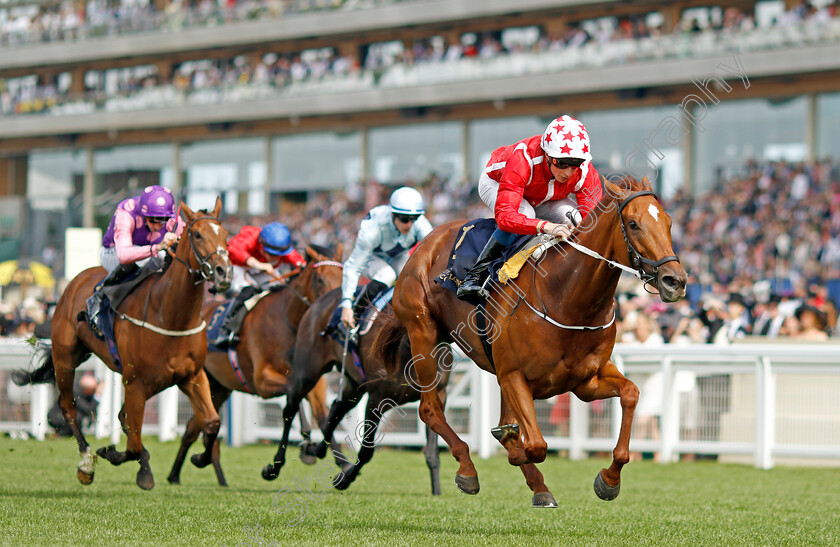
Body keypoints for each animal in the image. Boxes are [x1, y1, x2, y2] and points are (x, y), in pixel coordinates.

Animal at [49, 199, 233, 490]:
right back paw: (86, 464)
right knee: (69, 407)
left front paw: (200, 458)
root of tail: (75, 282)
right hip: (65, 359)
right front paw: (111, 454)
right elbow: (133, 444)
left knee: (123, 418)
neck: (171, 314)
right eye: (197, 234)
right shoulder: (134, 382)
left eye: (226, 235)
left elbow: (212, 422)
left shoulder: (192, 376)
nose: (224, 272)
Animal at [167, 245, 344, 488]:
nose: (335, 311)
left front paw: (340, 461)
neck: (289, 321)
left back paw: (200, 474)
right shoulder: (263, 381)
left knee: (198, 427)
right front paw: (306, 443)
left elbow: (323, 415)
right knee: (198, 428)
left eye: (343, 277)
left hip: (218, 388)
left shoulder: (315, 384)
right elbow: (292, 397)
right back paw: (180, 473)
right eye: (319, 279)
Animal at [262, 286, 450, 496]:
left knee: (335, 410)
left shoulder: (439, 395)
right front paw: (344, 480)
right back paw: (274, 467)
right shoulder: (377, 398)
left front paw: (437, 491)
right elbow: (367, 451)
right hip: (307, 373)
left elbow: (432, 452)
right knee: (290, 410)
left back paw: (315, 450)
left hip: (353, 386)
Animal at [376, 180, 688, 510]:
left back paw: (538, 486)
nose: (675, 281)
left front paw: (609, 480)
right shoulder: (514, 374)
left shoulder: (585, 381)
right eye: (633, 224)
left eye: (668, 222)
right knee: (430, 409)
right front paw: (514, 452)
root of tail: (426, 241)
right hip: (424, 335)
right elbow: (535, 444)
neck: (566, 298)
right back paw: (469, 470)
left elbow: (630, 393)